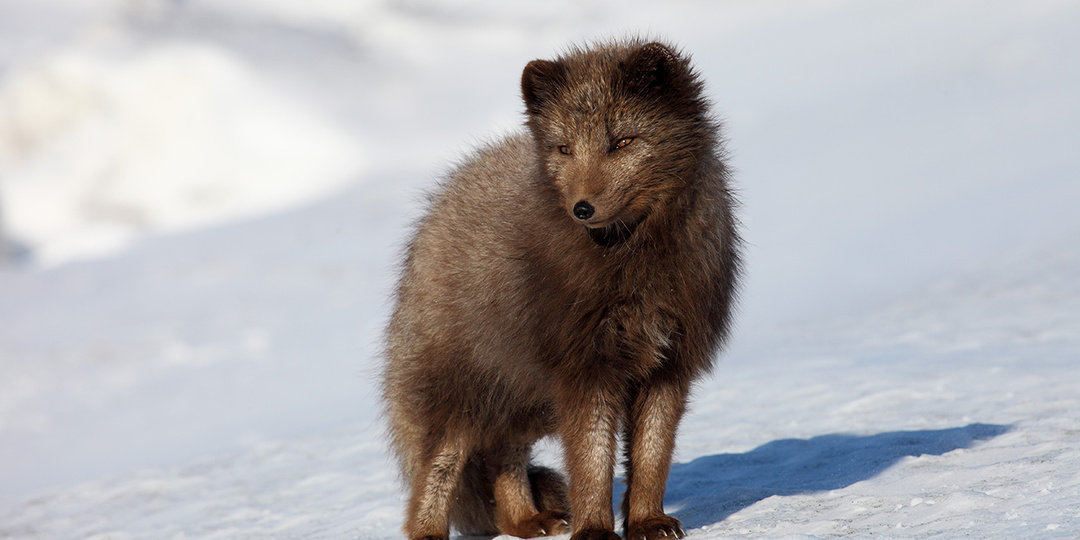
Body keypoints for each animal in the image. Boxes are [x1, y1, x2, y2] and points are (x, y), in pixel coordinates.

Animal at [382, 39, 743, 540]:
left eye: (622, 142)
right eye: (564, 148)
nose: (582, 209)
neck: (633, 264)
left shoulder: (668, 365)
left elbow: (652, 455)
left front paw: (647, 521)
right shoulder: (584, 369)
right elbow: (591, 460)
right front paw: (594, 530)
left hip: (521, 397)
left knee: (503, 457)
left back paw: (525, 520)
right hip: (464, 391)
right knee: (437, 466)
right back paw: (430, 531)